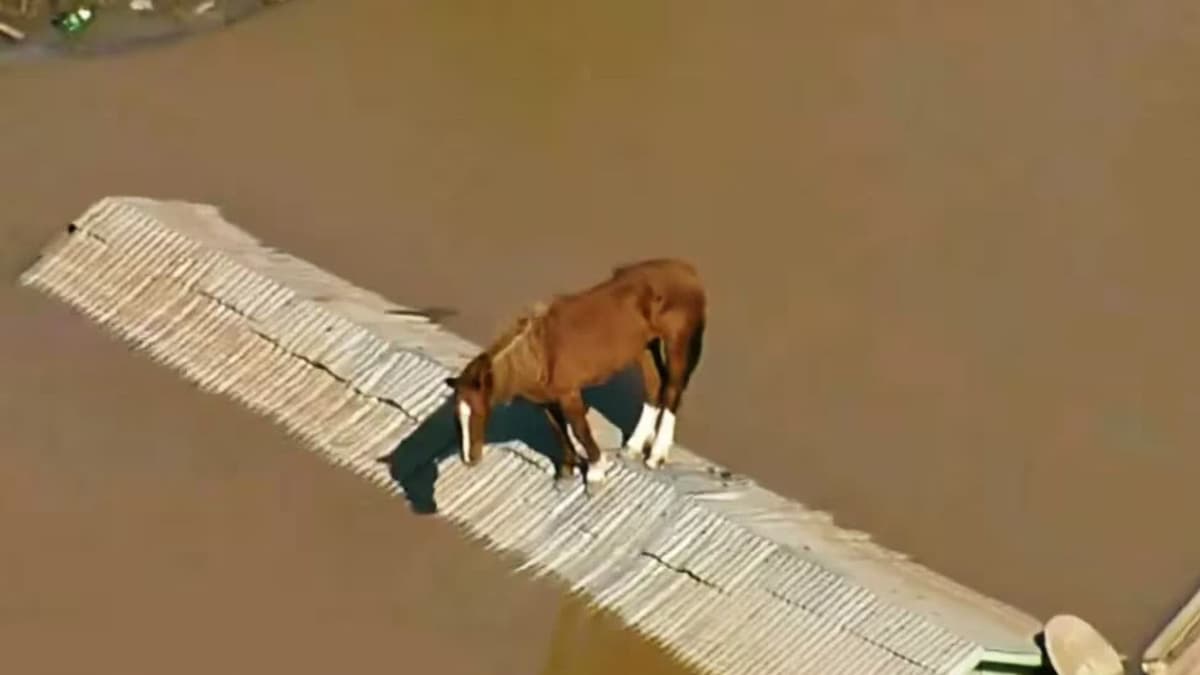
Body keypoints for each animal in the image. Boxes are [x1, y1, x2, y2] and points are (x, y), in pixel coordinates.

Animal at [443, 258, 707, 485]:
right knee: (655, 386)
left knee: (672, 390)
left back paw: (656, 455)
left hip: (678, 343)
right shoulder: (547, 401)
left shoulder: (569, 395)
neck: (539, 354)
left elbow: (580, 430)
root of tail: (688, 271)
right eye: (456, 418)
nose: (469, 459)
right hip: (645, 347)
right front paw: (567, 470)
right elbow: (559, 431)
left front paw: (596, 471)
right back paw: (634, 445)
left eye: (478, 413)